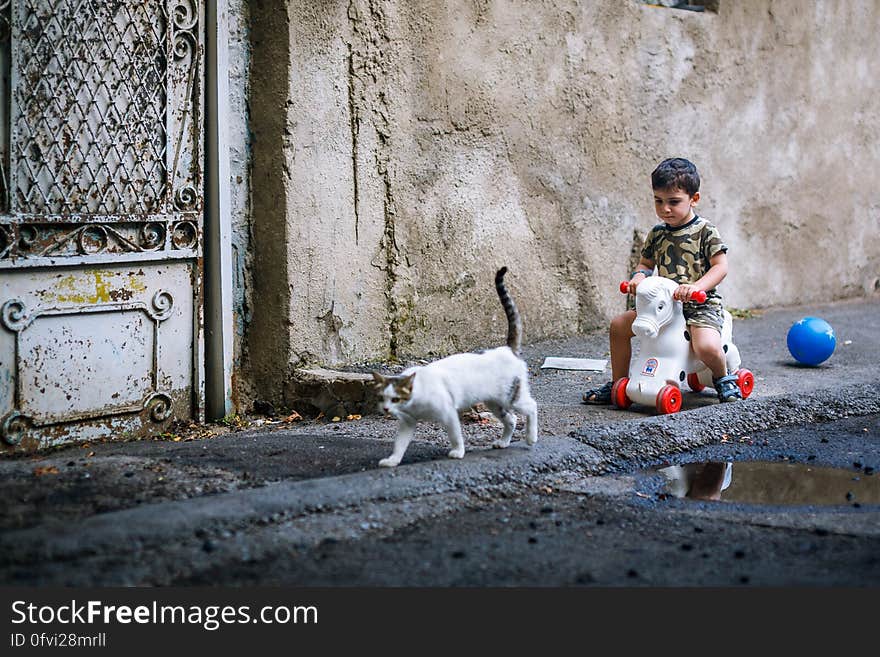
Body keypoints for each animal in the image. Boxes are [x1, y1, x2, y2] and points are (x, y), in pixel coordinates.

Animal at [370, 266, 536, 466]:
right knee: (511, 419)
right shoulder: (407, 423)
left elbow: (455, 435)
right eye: (381, 398)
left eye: (395, 399)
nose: (386, 409)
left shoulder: (448, 412)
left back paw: (531, 437)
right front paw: (393, 461)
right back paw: (503, 442)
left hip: (511, 397)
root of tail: (506, 349)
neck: (414, 400)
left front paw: (458, 452)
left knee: (532, 407)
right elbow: (399, 444)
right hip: (495, 402)